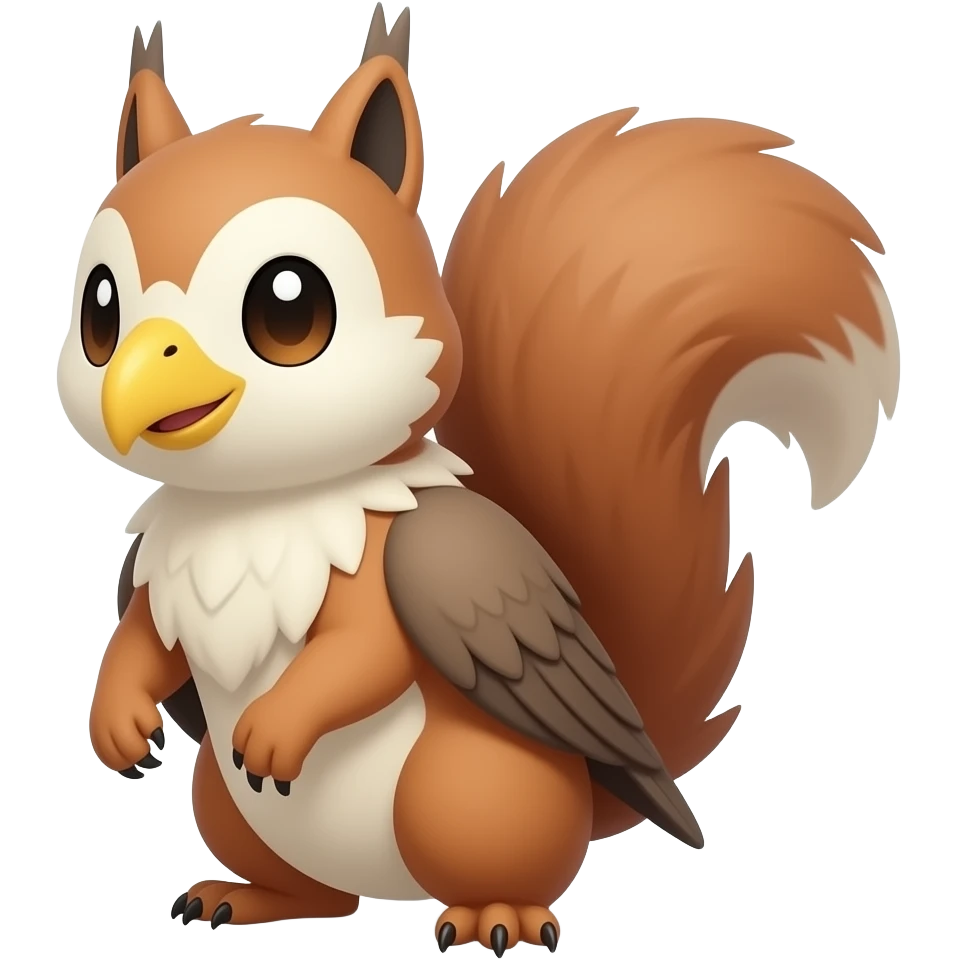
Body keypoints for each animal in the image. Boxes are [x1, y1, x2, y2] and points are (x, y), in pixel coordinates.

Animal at [60, 7, 899, 954]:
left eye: (288, 307)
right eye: (99, 311)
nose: (130, 389)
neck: (252, 508)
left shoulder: (401, 564)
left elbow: (362, 654)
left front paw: (277, 724)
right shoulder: (152, 577)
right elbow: (145, 643)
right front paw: (116, 719)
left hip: (467, 788)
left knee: (487, 852)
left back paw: (496, 914)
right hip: (223, 799)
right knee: (316, 890)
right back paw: (247, 896)